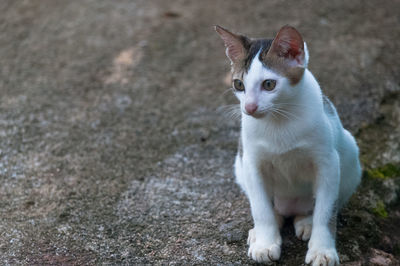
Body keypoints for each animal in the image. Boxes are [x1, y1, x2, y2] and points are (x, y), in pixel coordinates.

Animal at [216, 23, 362, 264]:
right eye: (239, 84)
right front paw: (265, 242)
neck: (279, 119)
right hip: (240, 164)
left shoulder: (328, 163)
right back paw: (263, 229)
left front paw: (322, 250)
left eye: (269, 84)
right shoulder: (252, 162)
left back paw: (307, 221)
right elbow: (260, 208)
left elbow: (326, 211)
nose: (249, 108)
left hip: (350, 154)